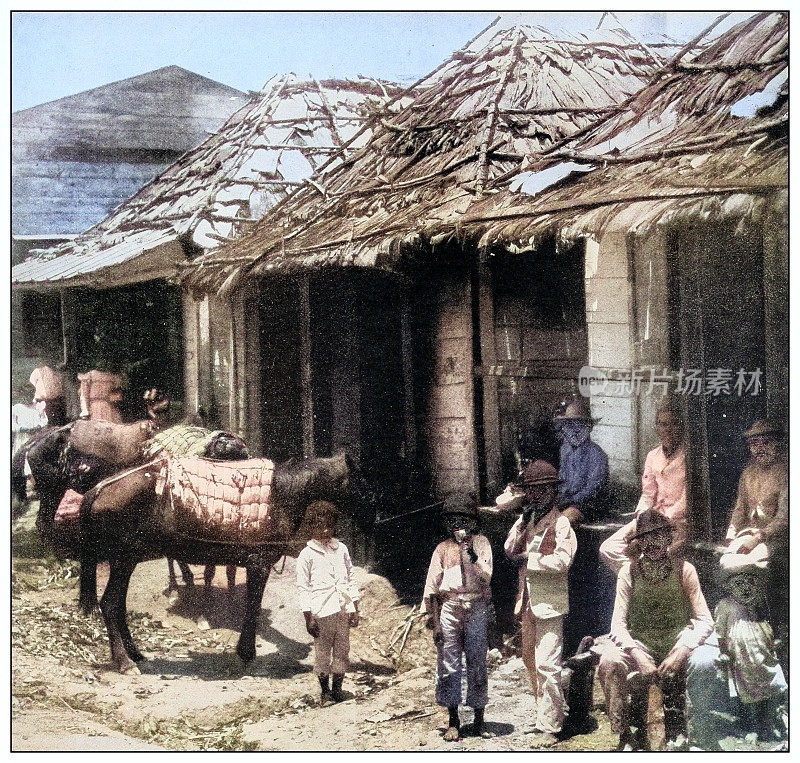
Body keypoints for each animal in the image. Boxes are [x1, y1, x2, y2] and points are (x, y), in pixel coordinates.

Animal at [72, 450, 360, 672]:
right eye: (363, 479)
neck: (282, 494)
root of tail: (97, 490)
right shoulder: (258, 565)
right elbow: (252, 607)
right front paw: (246, 655)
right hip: (123, 559)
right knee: (110, 604)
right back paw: (124, 662)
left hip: (126, 560)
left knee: (118, 605)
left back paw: (136, 655)